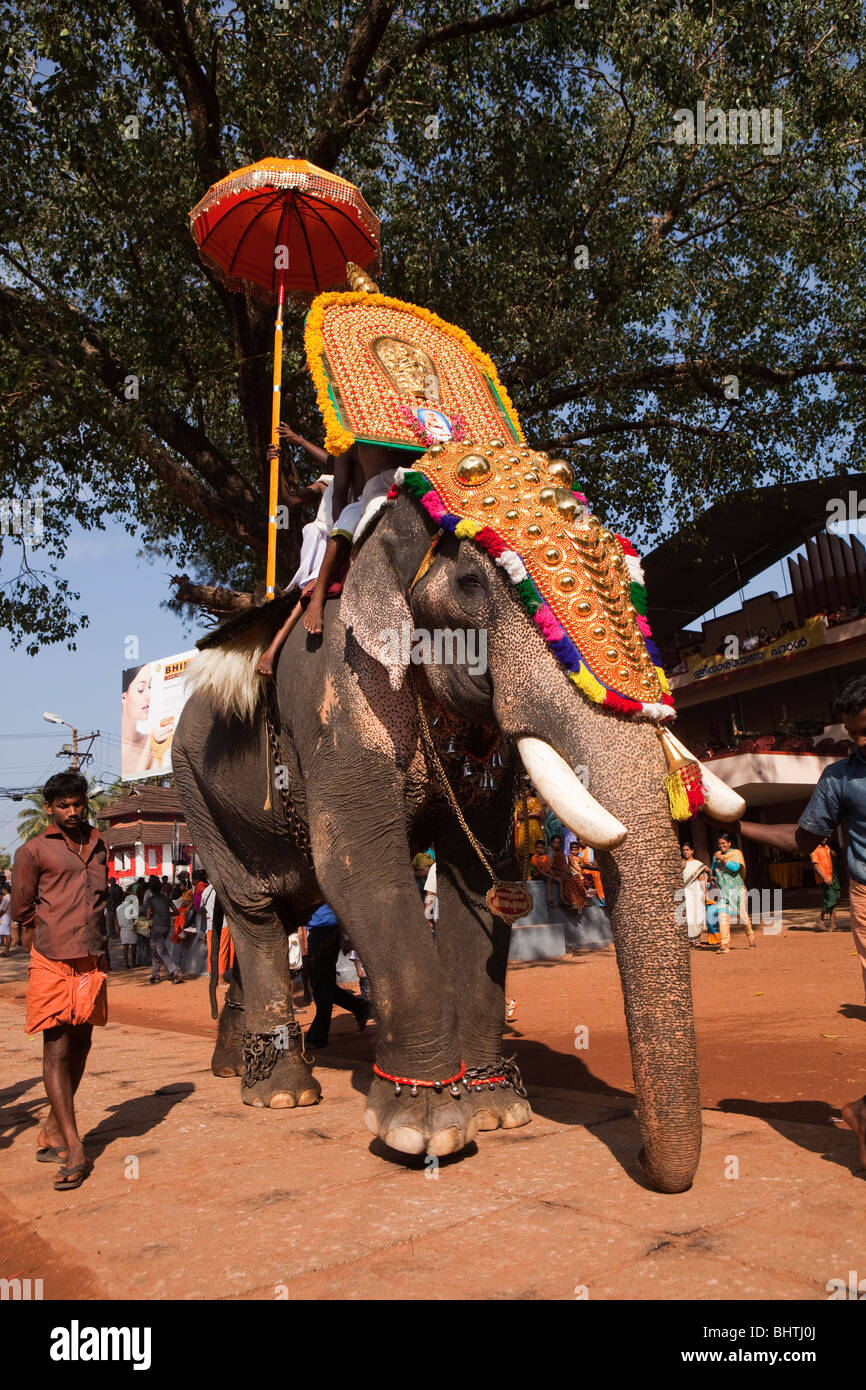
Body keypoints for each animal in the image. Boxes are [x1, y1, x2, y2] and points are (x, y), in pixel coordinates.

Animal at [173, 430, 739, 1184]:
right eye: (471, 585)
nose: (654, 1171)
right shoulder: (336, 697)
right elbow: (358, 864)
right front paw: (426, 1130)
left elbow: (481, 874)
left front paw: (497, 1110)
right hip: (194, 792)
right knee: (257, 912)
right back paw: (283, 1093)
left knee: (278, 908)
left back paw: (234, 1067)